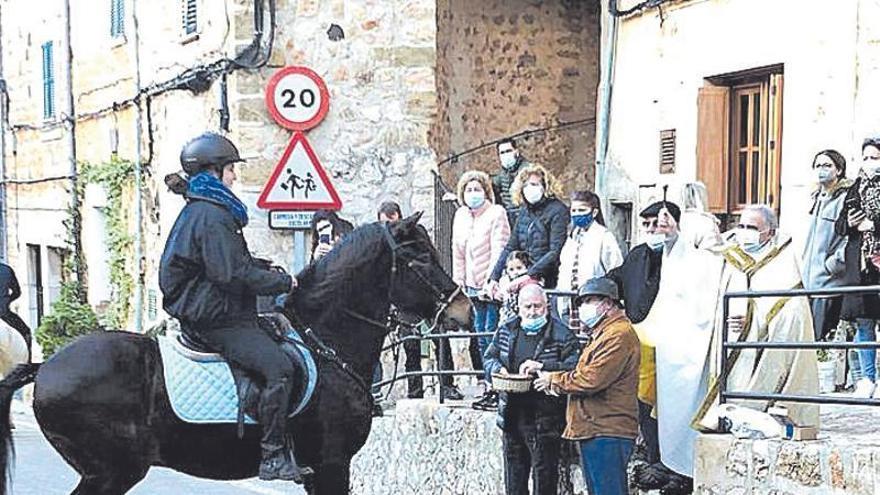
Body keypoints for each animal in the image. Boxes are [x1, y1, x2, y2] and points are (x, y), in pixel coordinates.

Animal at [0, 214, 474, 495]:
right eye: (420, 258)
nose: (464, 309)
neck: (325, 342)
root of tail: (45, 367)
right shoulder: (332, 464)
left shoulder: (322, 470)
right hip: (112, 472)